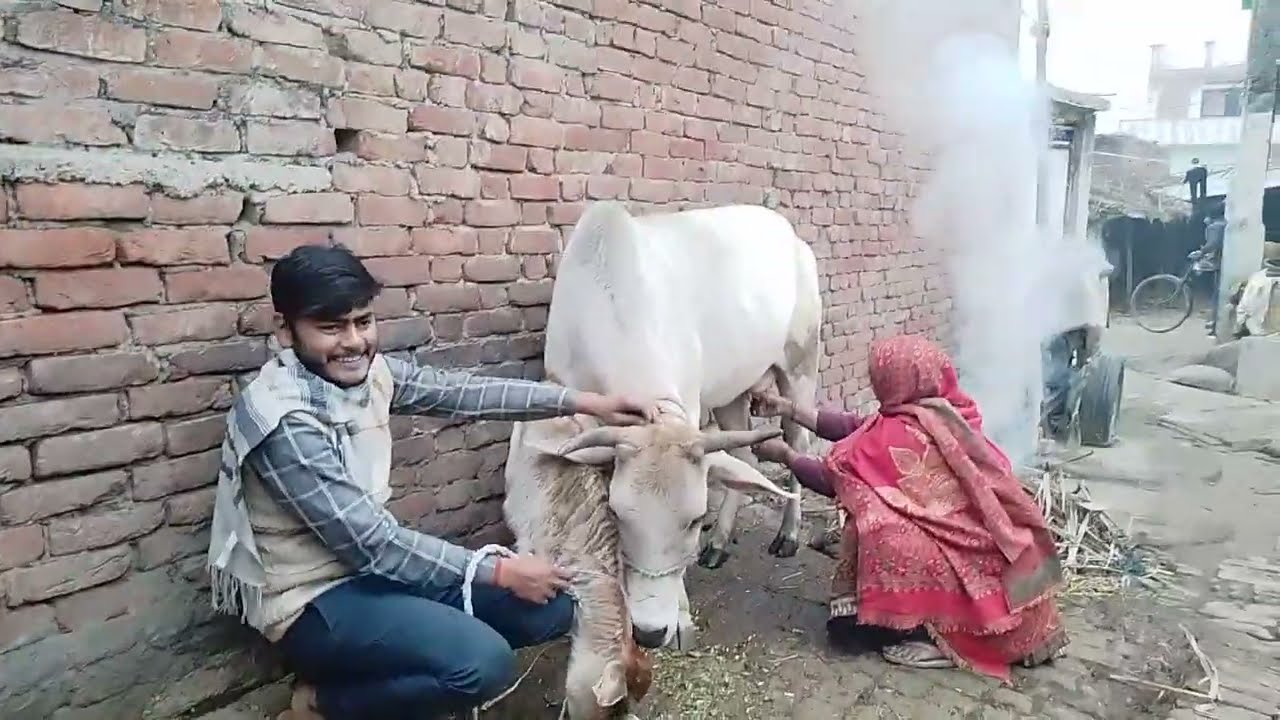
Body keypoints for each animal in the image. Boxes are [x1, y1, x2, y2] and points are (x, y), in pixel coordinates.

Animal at [531, 201, 823, 649]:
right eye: (618, 515)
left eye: (693, 519)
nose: (651, 633)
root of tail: (791, 237)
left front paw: (682, 618)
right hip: (732, 391)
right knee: (742, 455)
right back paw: (719, 543)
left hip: (800, 368)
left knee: (799, 445)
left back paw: (788, 535)